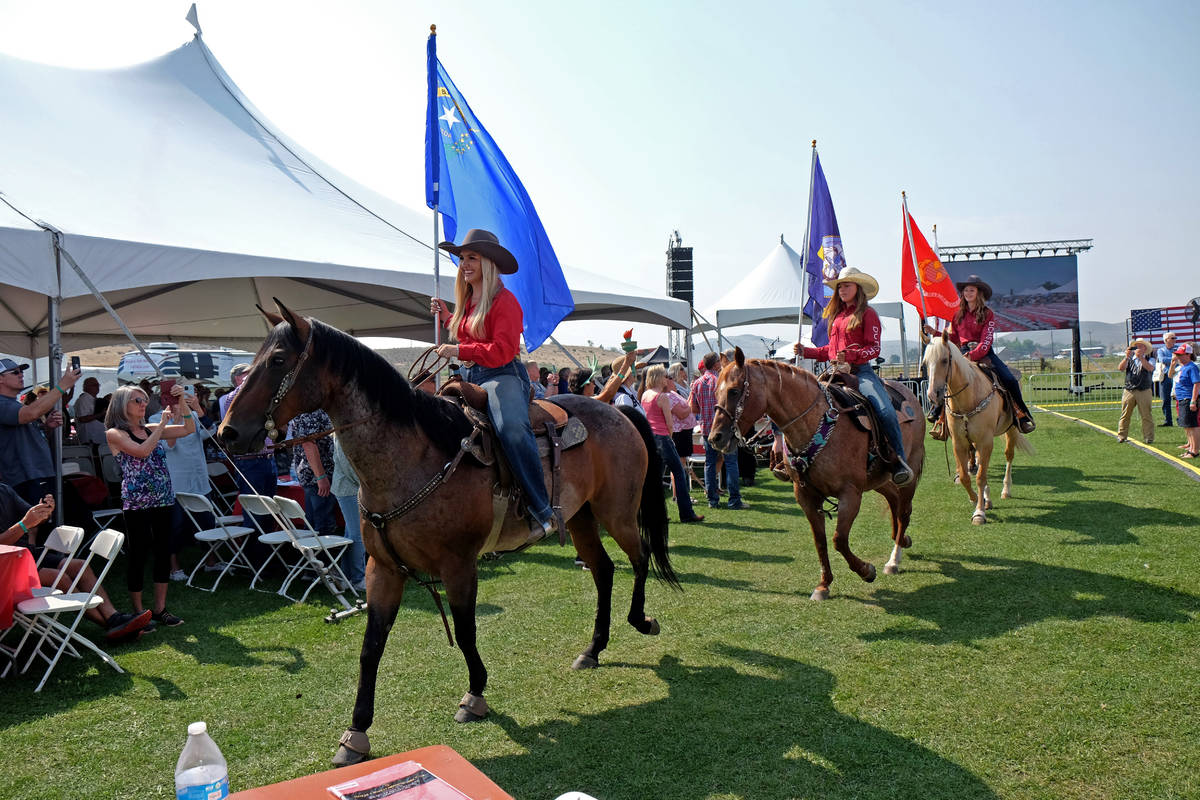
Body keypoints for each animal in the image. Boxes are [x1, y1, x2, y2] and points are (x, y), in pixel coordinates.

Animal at [219, 303, 681, 767]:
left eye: (278, 359)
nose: (227, 432)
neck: (413, 456)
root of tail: (616, 409)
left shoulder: (458, 565)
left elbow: (464, 632)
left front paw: (475, 694)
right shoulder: (382, 569)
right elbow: (371, 647)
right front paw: (355, 732)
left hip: (616, 512)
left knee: (639, 558)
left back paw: (641, 620)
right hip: (582, 517)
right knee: (603, 570)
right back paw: (593, 648)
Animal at [705, 350, 921, 599]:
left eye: (734, 391)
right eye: (716, 391)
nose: (715, 438)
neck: (816, 425)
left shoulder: (850, 494)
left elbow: (839, 540)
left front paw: (867, 571)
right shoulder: (806, 497)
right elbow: (820, 541)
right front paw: (823, 584)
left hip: (909, 472)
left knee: (904, 511)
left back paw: (894, 559)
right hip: (878, 479)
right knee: (894, 501)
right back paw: (901, 540)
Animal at [921, 333, 1036, 525]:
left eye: (944, 360)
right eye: (925, 363)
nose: (932, 395)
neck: (967, 399)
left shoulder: (985, 441)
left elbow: (981, 477)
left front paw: (979, 512)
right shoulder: (960, 443)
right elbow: (965, 476)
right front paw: (977, 498)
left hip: (1011, 430)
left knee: (1009, 456)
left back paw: (1006, 490)